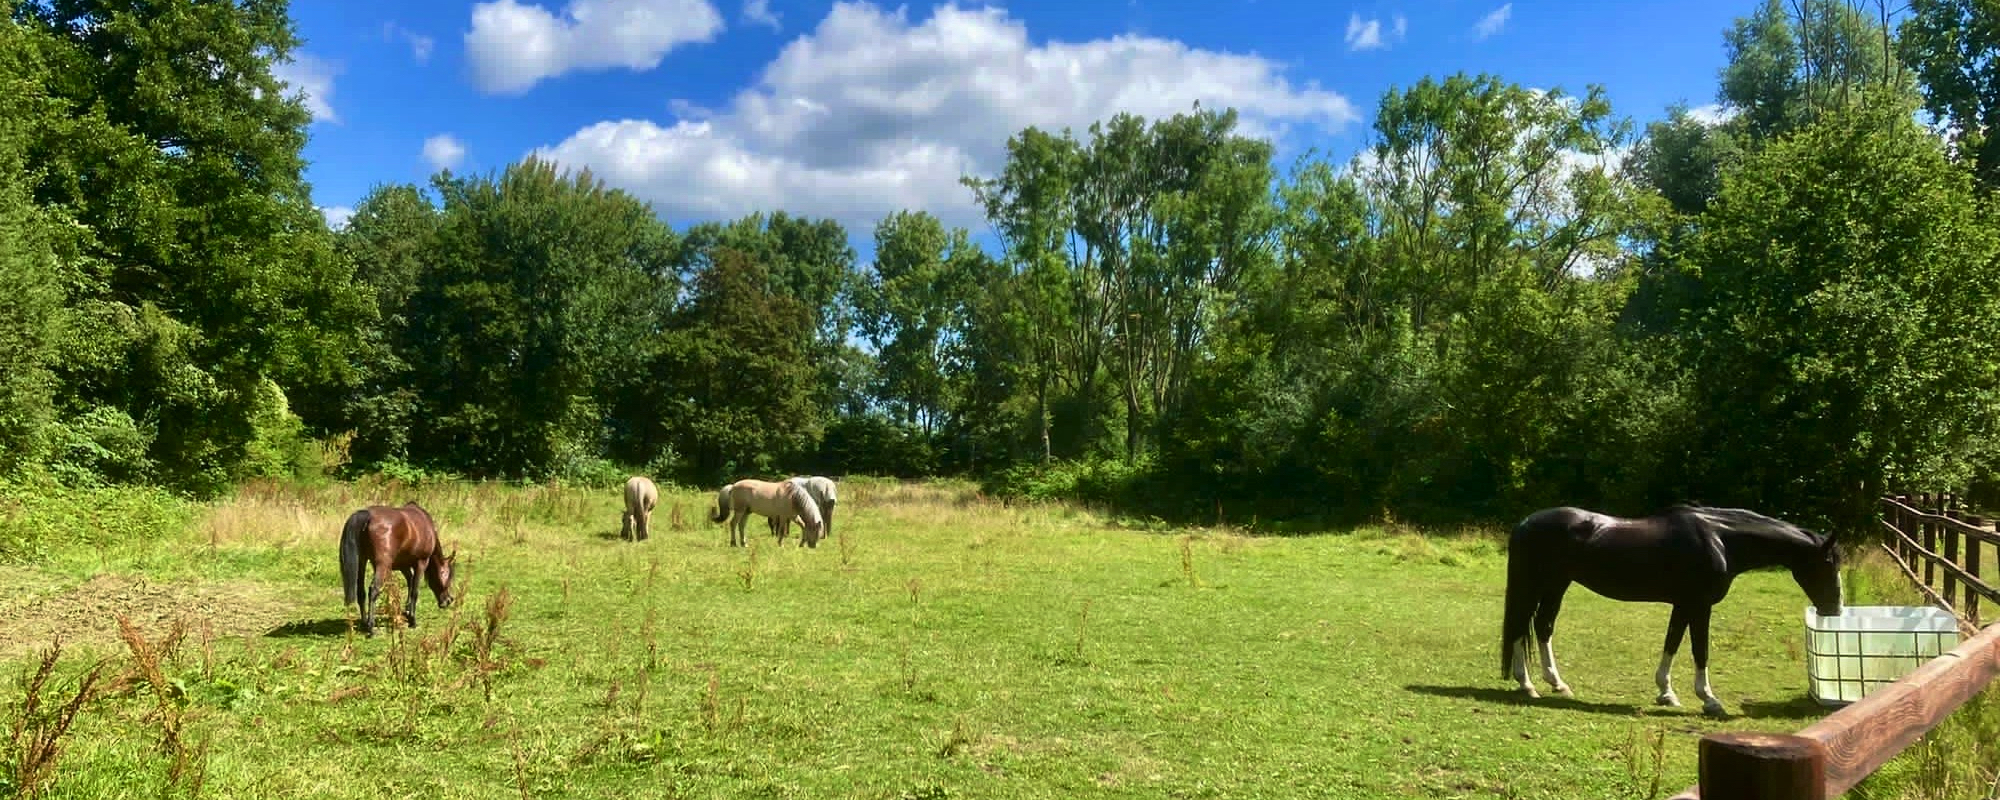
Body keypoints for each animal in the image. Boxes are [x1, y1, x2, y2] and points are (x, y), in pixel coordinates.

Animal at [338, 502, 458, 637]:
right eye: (449, 578)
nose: (448, 600)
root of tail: (367, 515)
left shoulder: (403, 566)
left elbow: (410, 583)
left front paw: (407, 612)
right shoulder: (421, 562)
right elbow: (414, 591)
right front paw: (412, 620)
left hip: (362, 561)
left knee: (361, 592)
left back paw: (364, 623)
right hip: (382, 565)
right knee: (373, 590)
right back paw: (371, 628)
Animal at [1500, 504, 1843, 716]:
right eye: (1828, 563)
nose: (1835, 609)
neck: (1719, 539)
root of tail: (1525, 524)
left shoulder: (1683, 604)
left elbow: (1673, 643)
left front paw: (1666, 692)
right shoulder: (1699, 605)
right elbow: (1699, 650)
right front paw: (1709, 700)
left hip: (1557, 584)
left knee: (1543, 626)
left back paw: (1556, 683)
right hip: (1535, 584)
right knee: (1520, 626)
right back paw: (1527, 684)